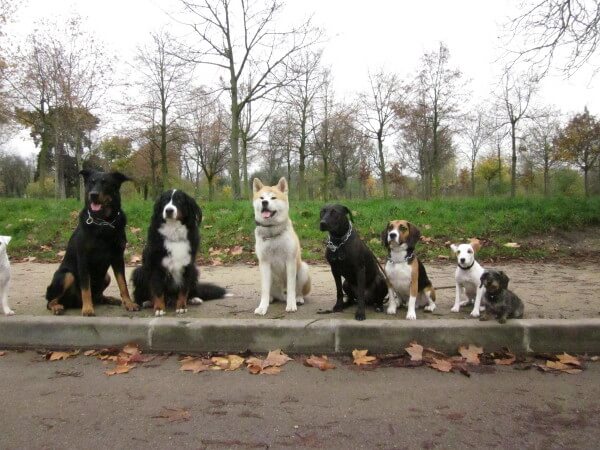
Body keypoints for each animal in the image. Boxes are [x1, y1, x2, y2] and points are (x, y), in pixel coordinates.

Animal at [44, 170, 139, 316]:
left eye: (105, 183)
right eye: (91, 182)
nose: (93, 195)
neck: (103, 222)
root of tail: (73, 303)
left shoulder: (118, 257)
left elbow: (123, 284)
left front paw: (129, 303)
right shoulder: (83, 259)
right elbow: (85, 288)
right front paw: (88, 308)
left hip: (106, 277)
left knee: (98, 296)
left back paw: (108, 299)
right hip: (66, 275)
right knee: (50, 301)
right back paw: (57, 307)